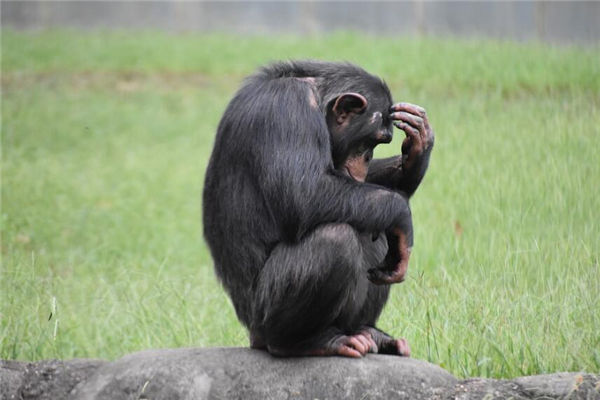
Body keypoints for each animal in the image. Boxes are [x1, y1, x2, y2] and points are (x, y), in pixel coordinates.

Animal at [204, 61, 434, 358]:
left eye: (381, 143)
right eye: (370, 141)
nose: (368, 157)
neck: (317, 97)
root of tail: (251, 334)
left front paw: (418, 149)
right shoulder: (287, 108)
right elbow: (305, 192)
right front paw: (403, 216)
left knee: (374, 232)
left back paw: (371, 333)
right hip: (262, 318)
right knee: (335, 238)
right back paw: (307, 341)